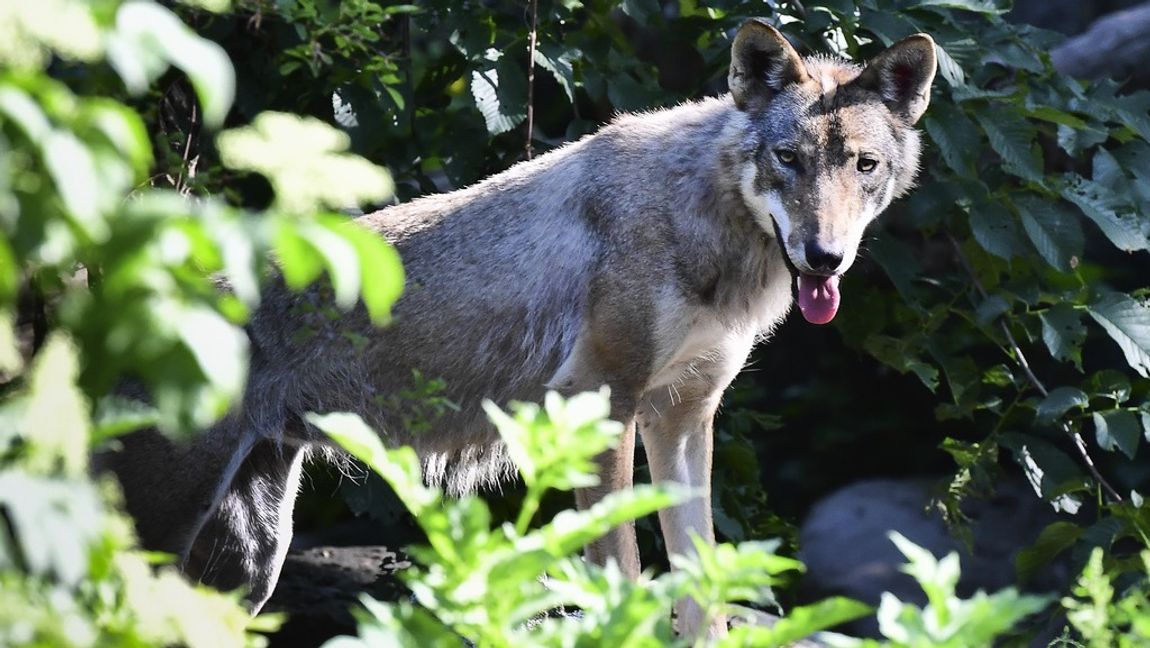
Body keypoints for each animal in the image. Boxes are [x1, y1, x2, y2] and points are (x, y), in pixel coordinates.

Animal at [98, 18, 933, 639]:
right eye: (787, 159)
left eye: (863, 166)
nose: (824, 256)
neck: (706, 223)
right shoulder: (601, 406)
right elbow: (623, 580)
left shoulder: (684, 417)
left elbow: (701, 591)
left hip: (251, 564)